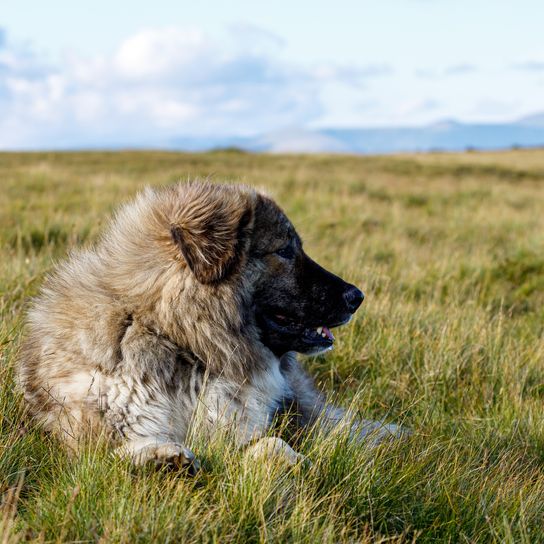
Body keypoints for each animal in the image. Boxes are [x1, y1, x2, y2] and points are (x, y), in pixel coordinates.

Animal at [18, 181, 400, 470]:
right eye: (285, 251)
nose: (357, 296)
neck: (182, 343)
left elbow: (272, 443)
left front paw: (291, 461)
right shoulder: (94, 431)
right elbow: (122, 450)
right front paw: (160, 457)